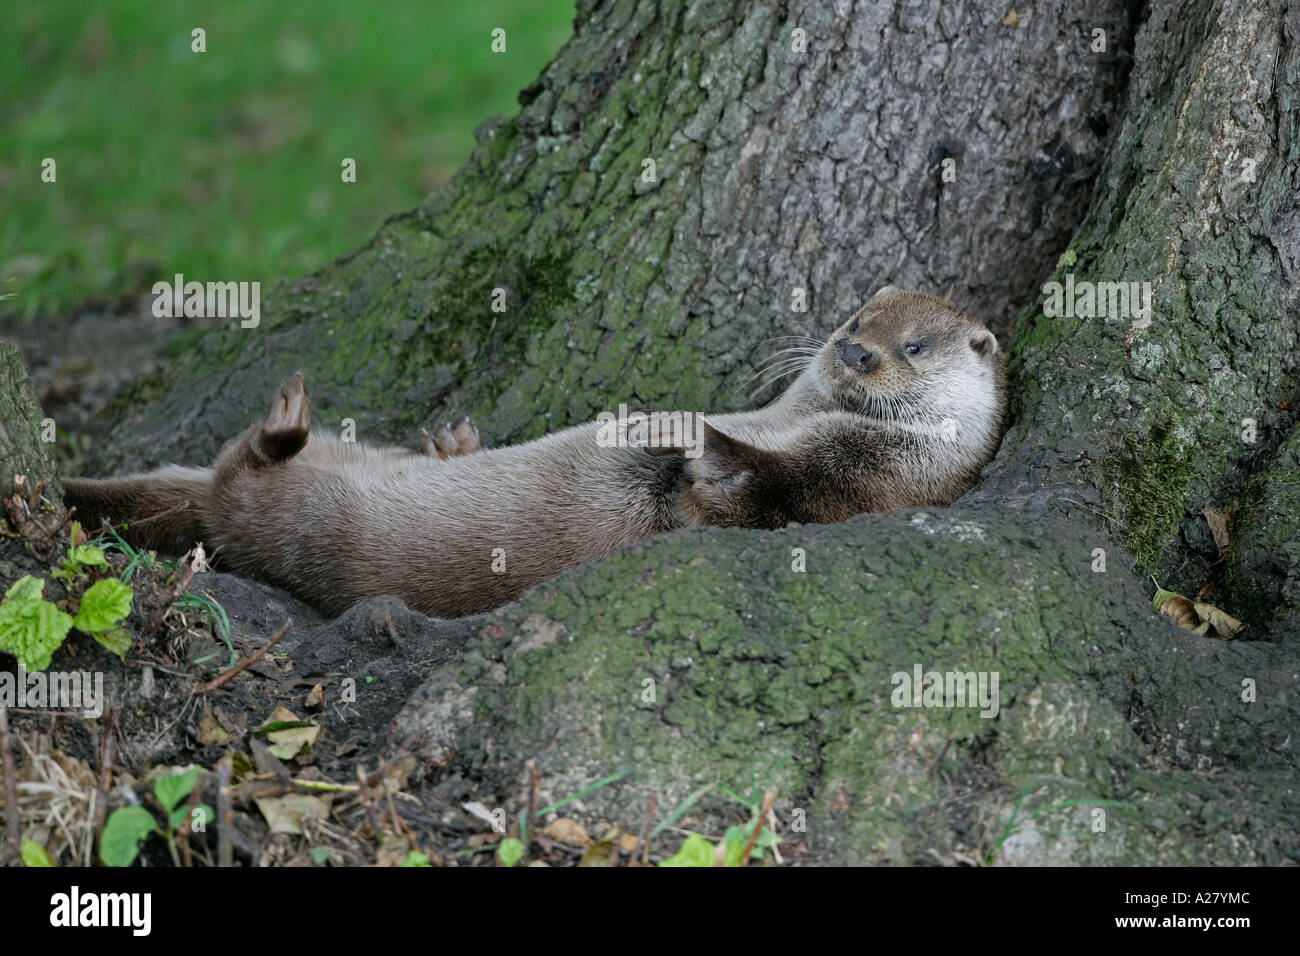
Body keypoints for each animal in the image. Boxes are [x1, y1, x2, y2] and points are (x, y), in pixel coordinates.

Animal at [64, 287, 1005, 618]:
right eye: (857, 317)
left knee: (243, 476)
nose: (852, 350)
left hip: (290, 518)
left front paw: (684, 432)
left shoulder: (840, 487)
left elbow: (734, 491)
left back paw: (283, 426)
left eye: (914, 346)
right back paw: (450, 442)